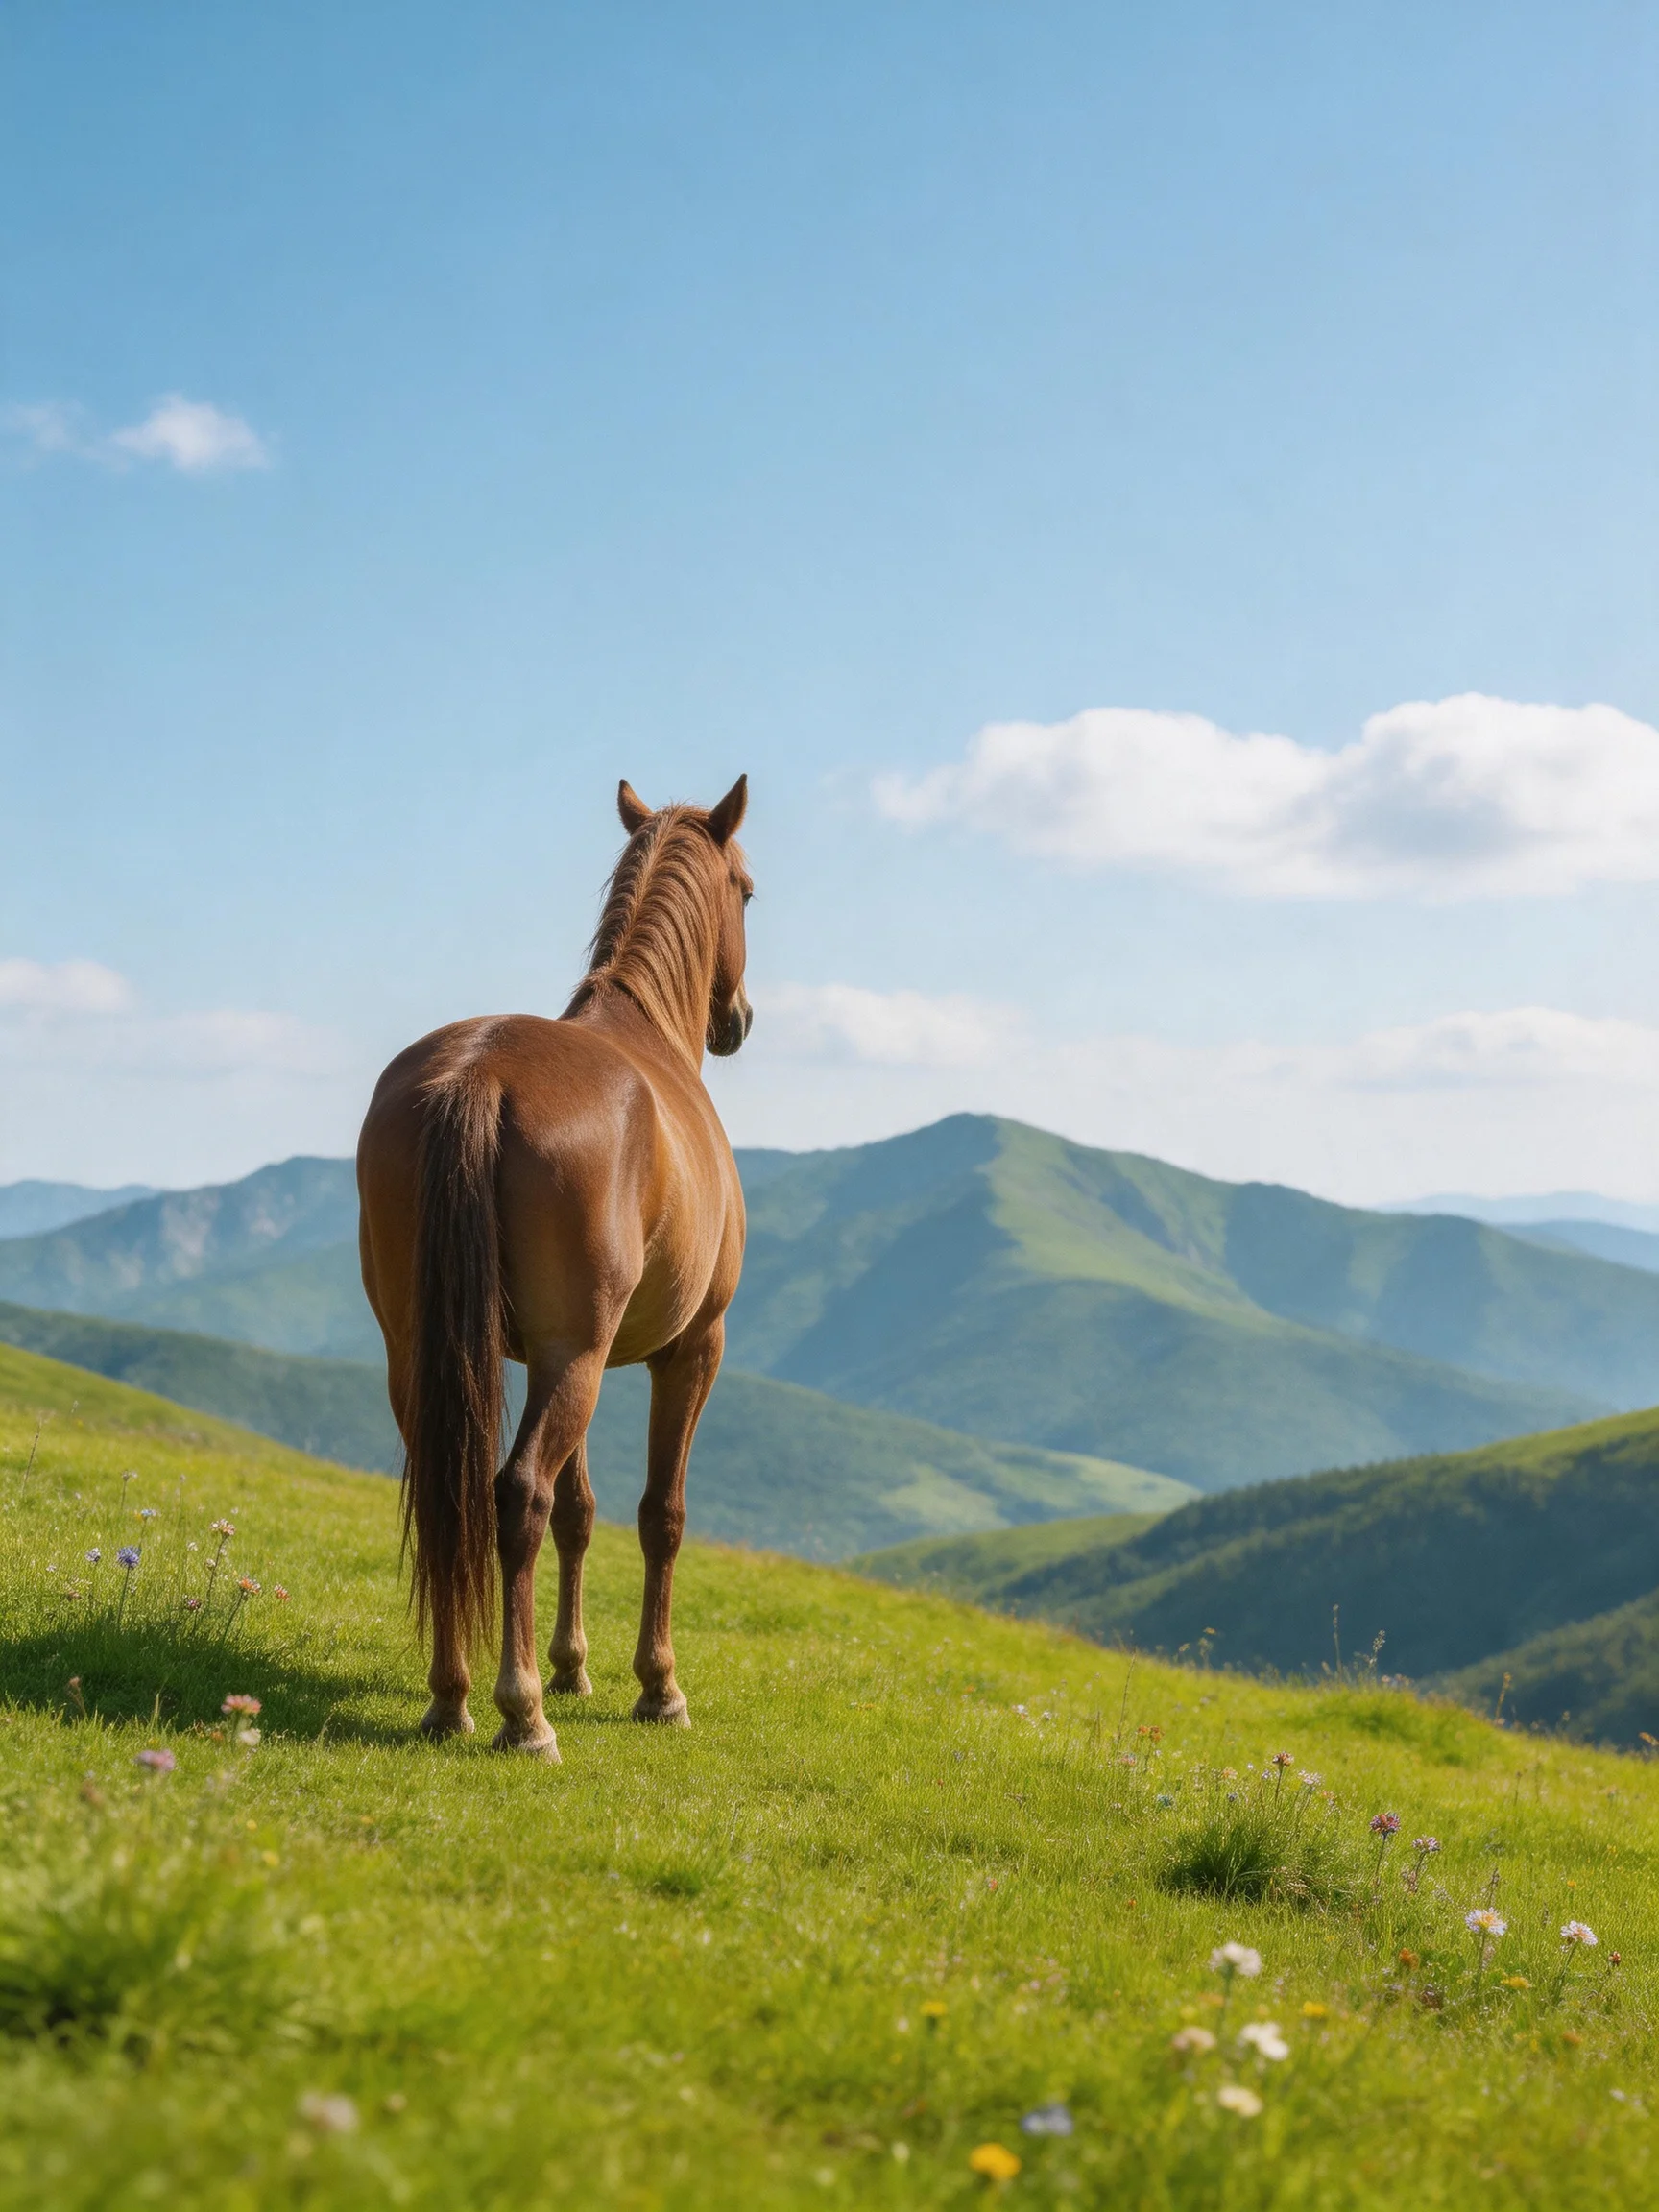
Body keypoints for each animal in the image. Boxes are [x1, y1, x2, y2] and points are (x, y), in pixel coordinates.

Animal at [356, 775, 753, 1761]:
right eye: (749, 890)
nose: (737, 1021)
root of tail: (475, 1077)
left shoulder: (556, 1355)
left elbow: (581, 1512)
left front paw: (575, 1667)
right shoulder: (686, 1352)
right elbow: (659, 1514)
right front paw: (657, 1687)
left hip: (438, 1353)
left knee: (453, 1490)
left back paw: (453, 1698)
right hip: (580, 1359)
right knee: (516, 1495)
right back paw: (521, 1712)